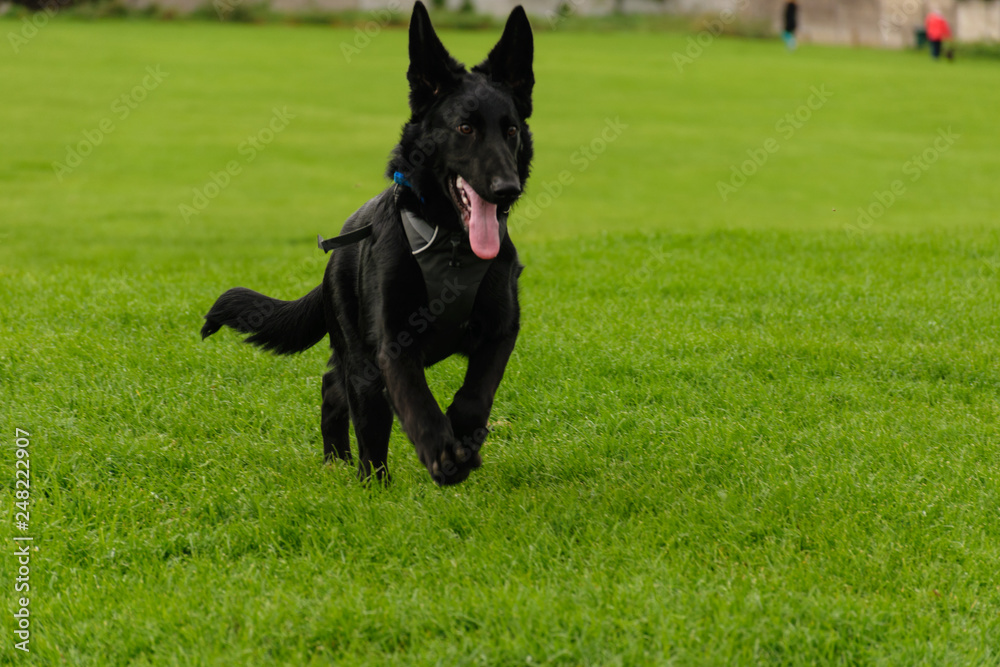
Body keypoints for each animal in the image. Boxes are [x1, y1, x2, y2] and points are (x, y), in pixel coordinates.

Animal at [200, 2, 536, 488]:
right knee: (356, 405)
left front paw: (463, 437)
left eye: (510, 131)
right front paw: (442, 451)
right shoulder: (393, 342)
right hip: (360, 355)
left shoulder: (501, 329)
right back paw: (363, 476)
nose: (507, 189)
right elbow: (416, 401)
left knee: (336, 388)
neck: (451, 245)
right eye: (465, 128)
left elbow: (477, 393)